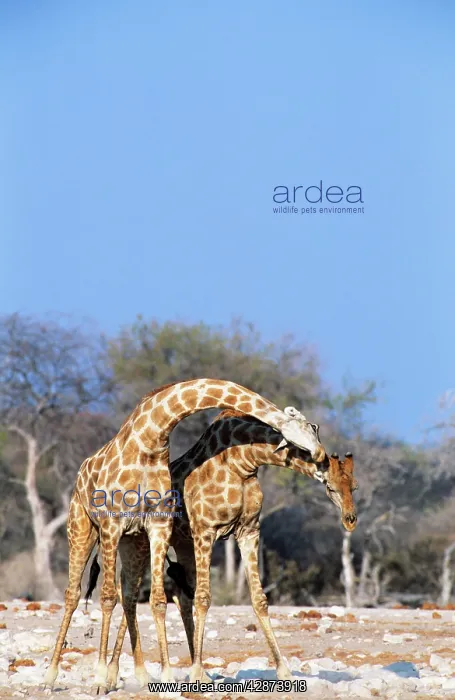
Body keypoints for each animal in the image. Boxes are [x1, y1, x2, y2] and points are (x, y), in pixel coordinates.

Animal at [43, 379, 326, 692]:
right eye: (309, 427)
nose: (321, 455)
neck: (151, 439)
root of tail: (82, 470)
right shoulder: (112, 525)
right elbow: (106, 599)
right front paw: (99, 679)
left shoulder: (159, 525)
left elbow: (157, 601)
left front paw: (167, 676)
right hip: (82, 527)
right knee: (74, 594)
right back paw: (53, 675)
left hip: (134, 542)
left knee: (129, 594)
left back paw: (140, 674)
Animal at [98, 409, 357, 688]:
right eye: (330, 487)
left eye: (355, 487)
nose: (350, 520)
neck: (244, 461)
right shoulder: (205, 531)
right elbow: (204, 598)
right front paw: (196, 672)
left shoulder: (249, 531)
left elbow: (259, 599)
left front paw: (284, 670)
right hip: (148, 542)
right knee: (132, 593)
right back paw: (114, 675)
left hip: (182, 544)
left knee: (177, 595)